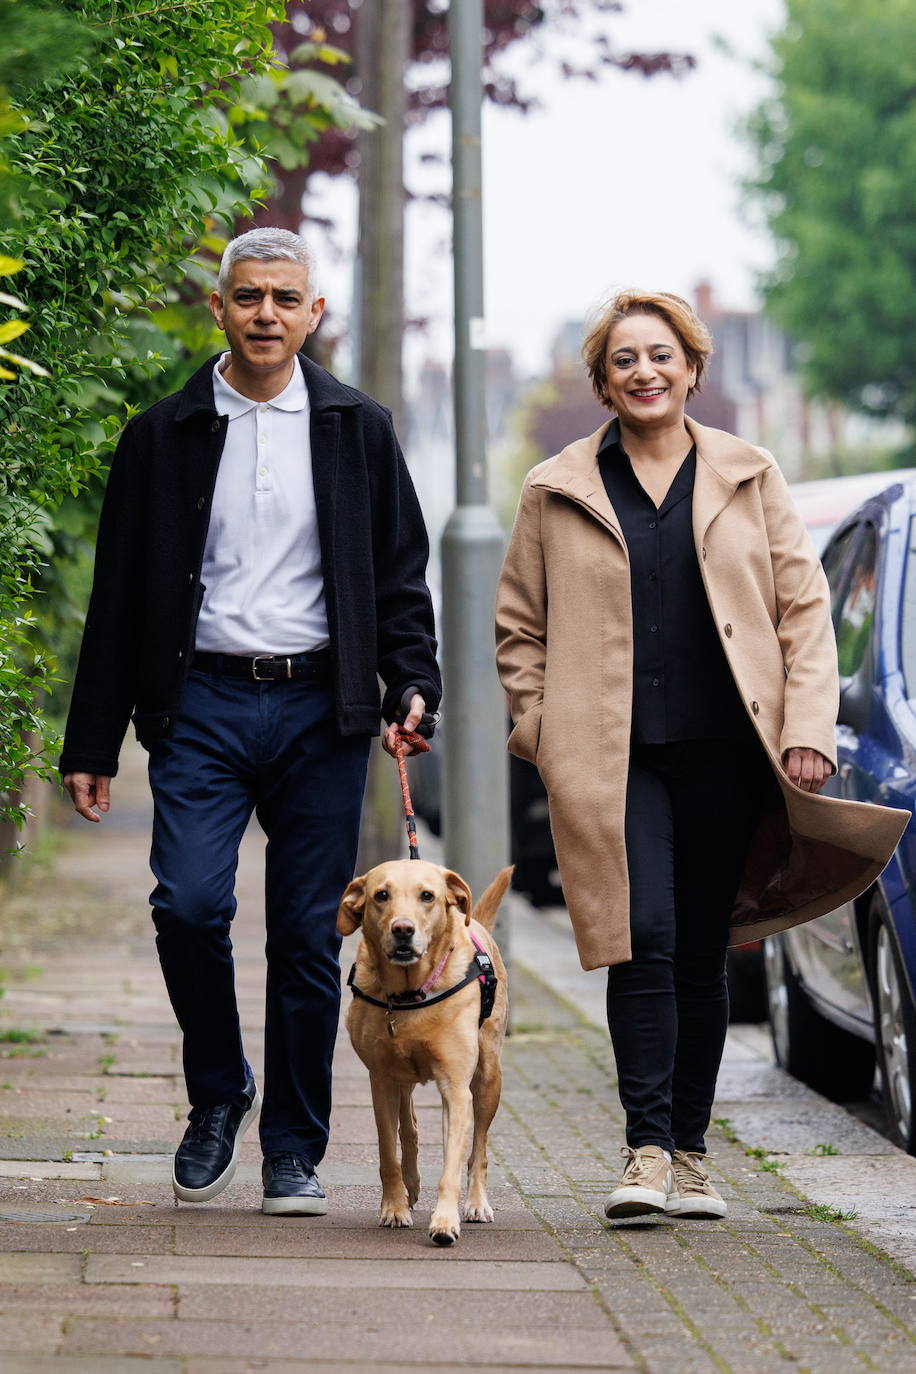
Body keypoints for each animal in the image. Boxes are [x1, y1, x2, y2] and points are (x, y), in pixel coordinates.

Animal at [336, 857, 513, 1247]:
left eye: (427, 896)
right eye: (381, 895)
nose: (403, 929)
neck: (409, 995)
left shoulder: (456, 1088)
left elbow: (452, 1164)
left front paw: (445, 1221)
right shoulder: (381, 1081)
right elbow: (388, 1151)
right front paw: (394, 1208)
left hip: (488, 1079)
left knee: (478, 1148)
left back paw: (476, 1203)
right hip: (402, 1081)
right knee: (410, 1129)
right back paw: (410, 1186)